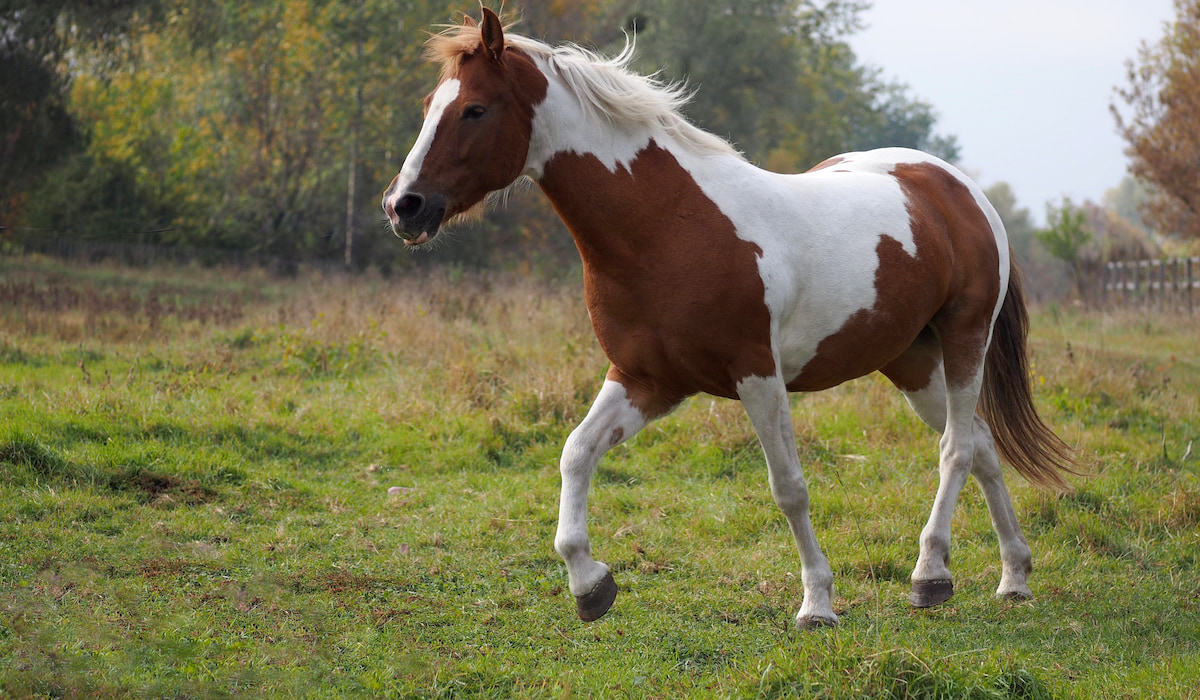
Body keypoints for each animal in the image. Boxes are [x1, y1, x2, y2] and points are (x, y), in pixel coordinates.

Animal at [382, 8, 1075, 628]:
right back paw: (1014, 576)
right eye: (430, 103)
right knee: (981, 443)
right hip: (910, 361)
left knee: (956, 448)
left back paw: (930, 576)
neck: (670, 227)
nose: (403, 206)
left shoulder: (756, 376)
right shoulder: (646, 380)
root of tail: (957, 188)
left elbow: (788, 486)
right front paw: (590, 586)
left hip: (963, 340)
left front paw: (817, 605)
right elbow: (576, 454)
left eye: (475, 109)